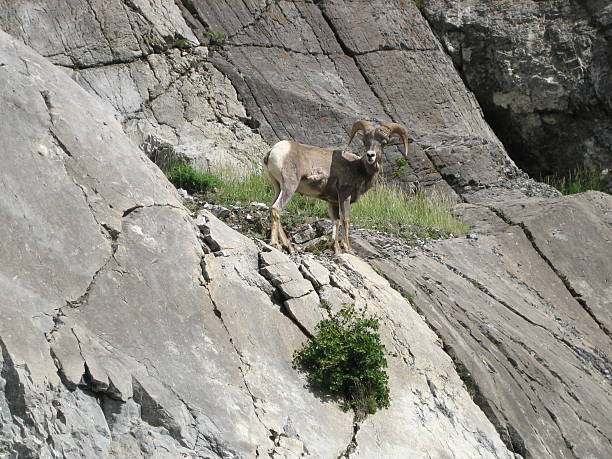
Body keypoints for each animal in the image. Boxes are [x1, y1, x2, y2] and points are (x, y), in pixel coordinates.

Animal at [260, 120, 408, 253]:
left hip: (278, 187)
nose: (370, 155)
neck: (358, 168)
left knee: (272, 208)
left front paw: (336, 248)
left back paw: (288, 246)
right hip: (289, 186)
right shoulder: (344, 196)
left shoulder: (333, 202)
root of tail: (272, 152)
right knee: (276, 209)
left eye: (383, 143)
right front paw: (348, 247)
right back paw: (276, 245)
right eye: (365, 142)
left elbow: (335, 221)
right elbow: (345, 219)